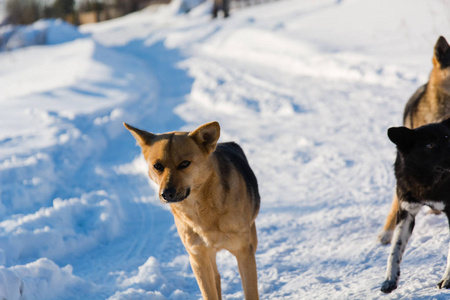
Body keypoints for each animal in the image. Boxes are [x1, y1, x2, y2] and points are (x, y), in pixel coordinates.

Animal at [125, 120, 262, 298]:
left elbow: (251, 292)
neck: (202, 209)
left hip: (251, 239)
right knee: (216, 277)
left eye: (184, 163)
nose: (166, 193)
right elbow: (209, 293)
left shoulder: (244, 251)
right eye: (157, 166)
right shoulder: (197, 257)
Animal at [382, 118, 450, 294]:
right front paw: (389, 280)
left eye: (449, 138)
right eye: (430, 145)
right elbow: (395, 250)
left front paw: (447, 279)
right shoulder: (406, 212)